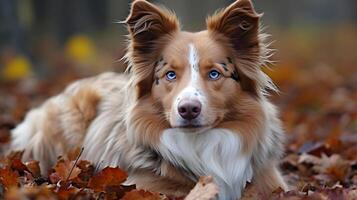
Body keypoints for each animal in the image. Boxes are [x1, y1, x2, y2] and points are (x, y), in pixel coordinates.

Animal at [10, 0, 286, 199]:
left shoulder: (268, 182)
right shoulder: (145, 184)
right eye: (170, 74)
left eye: (214, 73)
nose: (188, 109)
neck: (202, 145)